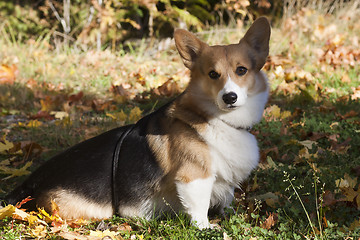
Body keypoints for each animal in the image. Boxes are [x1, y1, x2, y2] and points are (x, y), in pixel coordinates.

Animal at [4, 16, 270, 229]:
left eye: (241, 70)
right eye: (213, 74)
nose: (229, 97)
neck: (217, 119)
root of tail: (30, 182)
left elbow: (227, 198)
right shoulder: (194, 176)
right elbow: (199, 208)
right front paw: (206, 228)